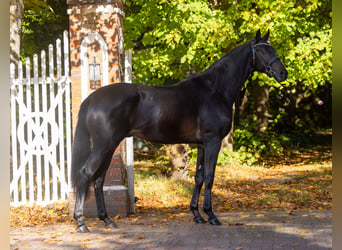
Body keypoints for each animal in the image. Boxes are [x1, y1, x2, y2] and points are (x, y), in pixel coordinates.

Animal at [72, 30, 288, 231]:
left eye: (273, 49)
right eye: (262, 50)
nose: (283, 73)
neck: (215, 90)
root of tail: (92, 98)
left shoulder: (202, 144)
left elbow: (199, 178)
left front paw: (197, 215)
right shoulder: (213, 141)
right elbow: (209, 176)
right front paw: (211, 215)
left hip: (110, 146)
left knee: (99, 179)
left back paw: (107, 220)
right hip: (103, 145)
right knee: (85, 174)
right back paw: (81, 222)